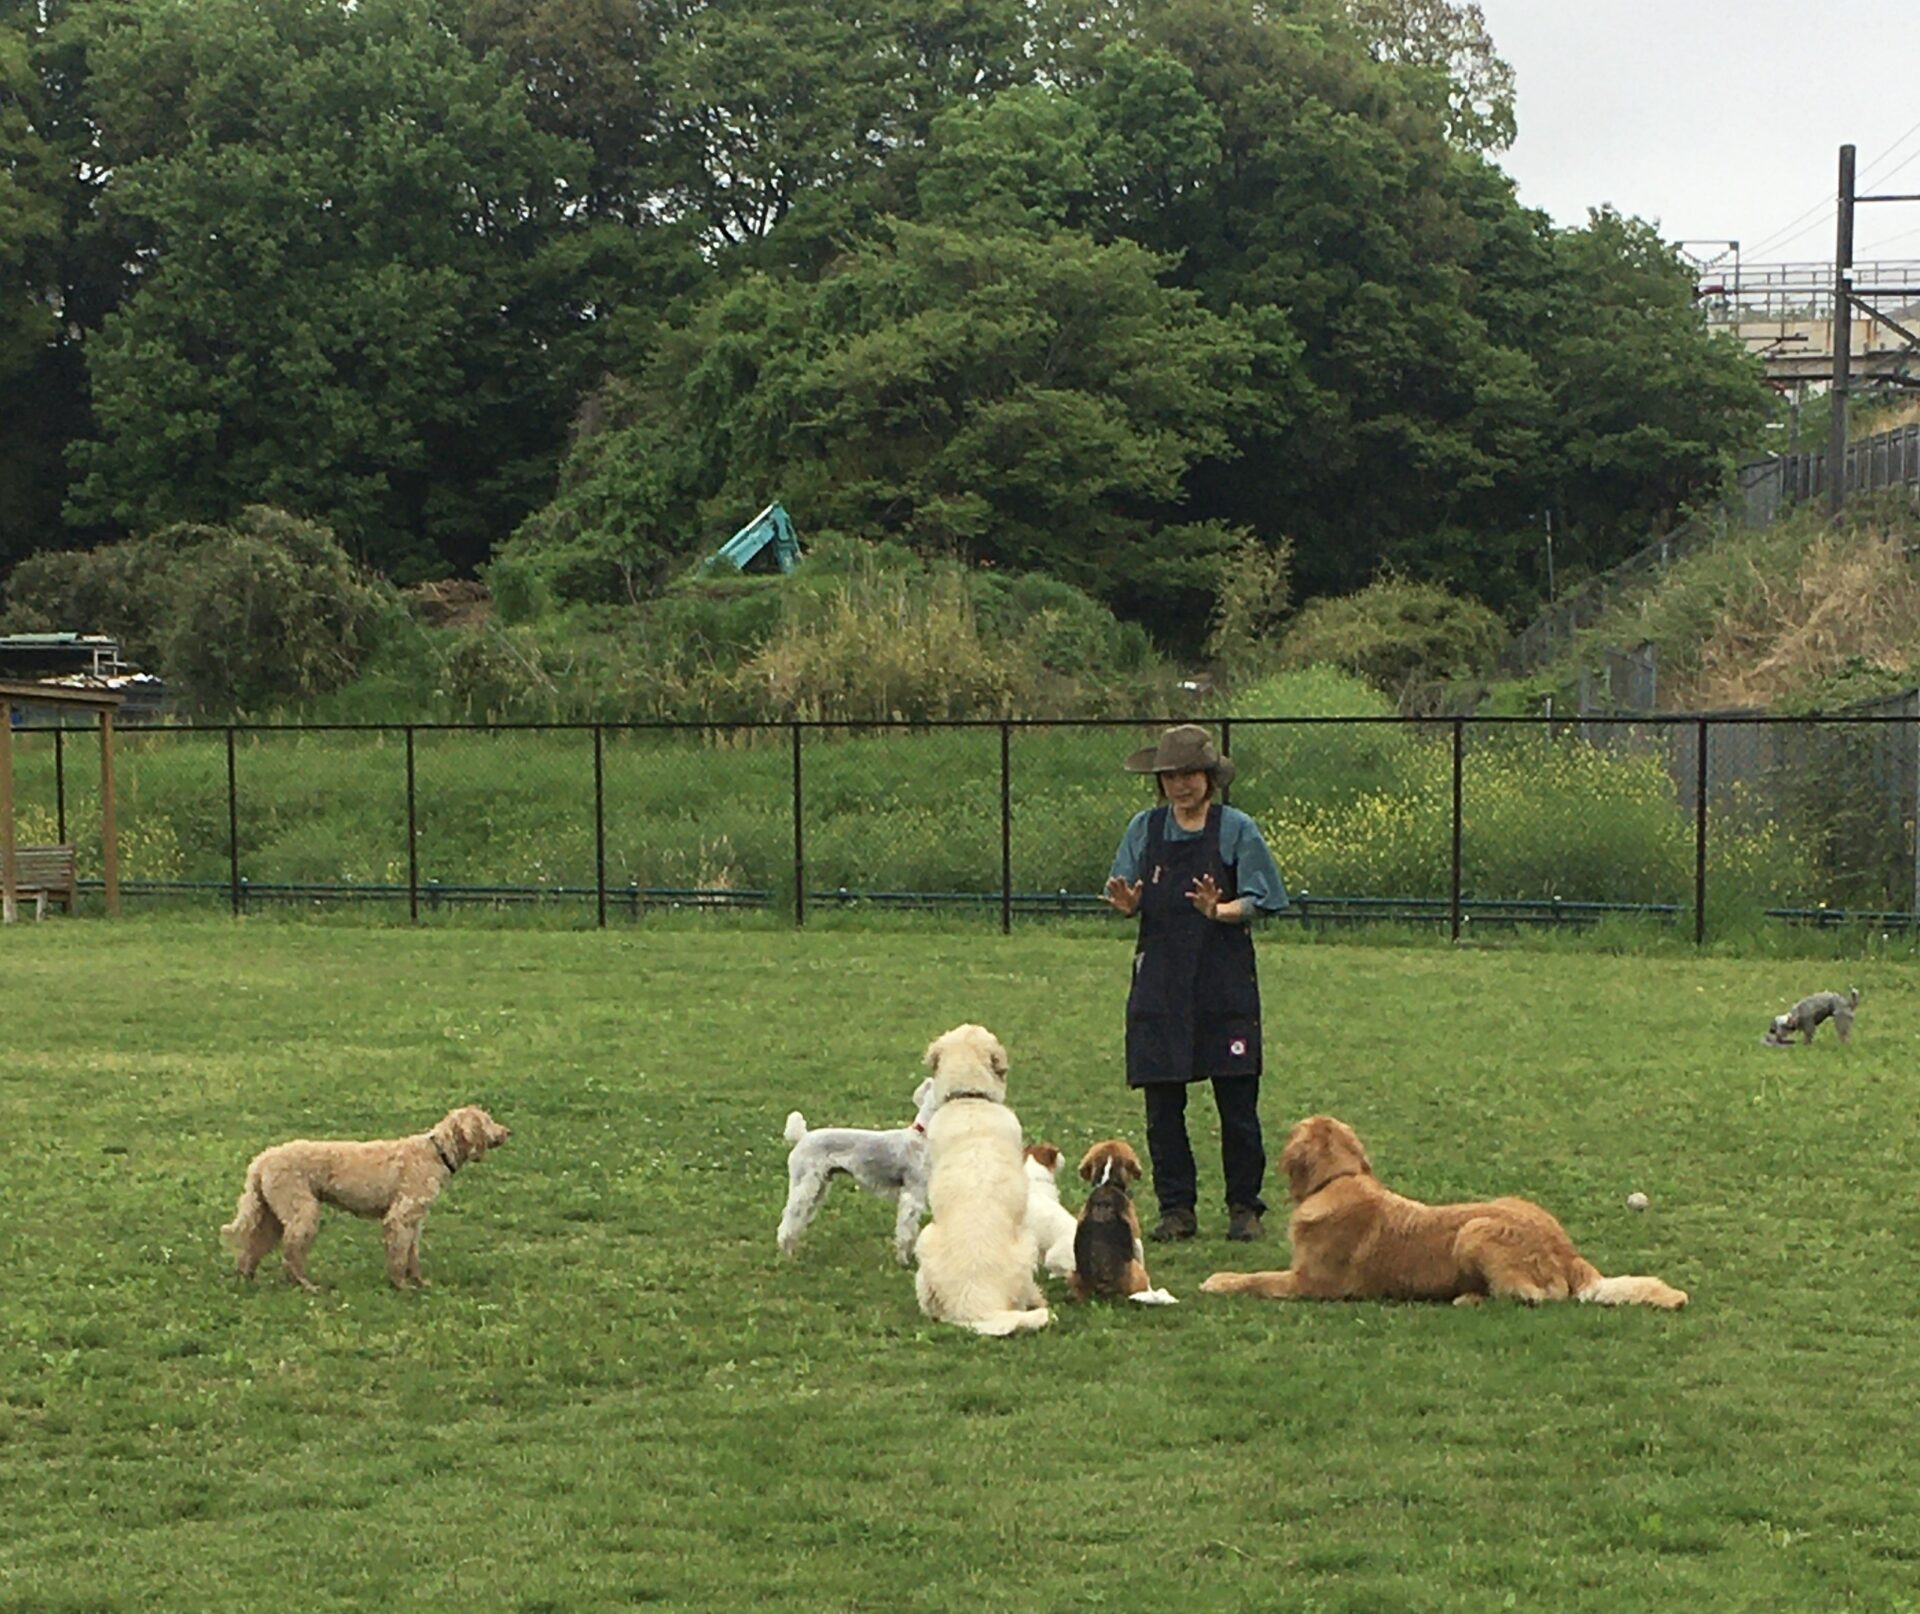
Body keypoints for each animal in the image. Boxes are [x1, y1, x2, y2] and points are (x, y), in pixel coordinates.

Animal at [220, 1105, 510, 1291]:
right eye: (488, 1120)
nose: (508, 1132)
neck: (436, 1152)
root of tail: (261, 1159)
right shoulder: (400, 1217)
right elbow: (399, 1255)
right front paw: (400, 1285)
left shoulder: (415, 1221)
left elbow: (412, 1255)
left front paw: (419, 1282)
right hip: (302, 1211)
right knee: (290, 1255)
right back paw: (306, 1285)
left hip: (271, 1215)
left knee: (253, 1248)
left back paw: (250, 1278)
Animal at [779, 1078, 939, 1264]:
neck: (921, 1138)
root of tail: (802, 1137)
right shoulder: (912, 1195)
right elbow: (906, 1230)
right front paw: (903, 1260)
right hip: (804, 1184)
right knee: (789, 1218)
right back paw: (786, 1254)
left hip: (819, 1187)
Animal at [1200, 1115, 1686, 1310]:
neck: (1338, 1179)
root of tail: (1567, 1251)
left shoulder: (1309, 1283)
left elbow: (1254, 1279)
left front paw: (1218, 1279)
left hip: (1475, 1229)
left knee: (1534, 1297)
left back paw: (1470, 1298)